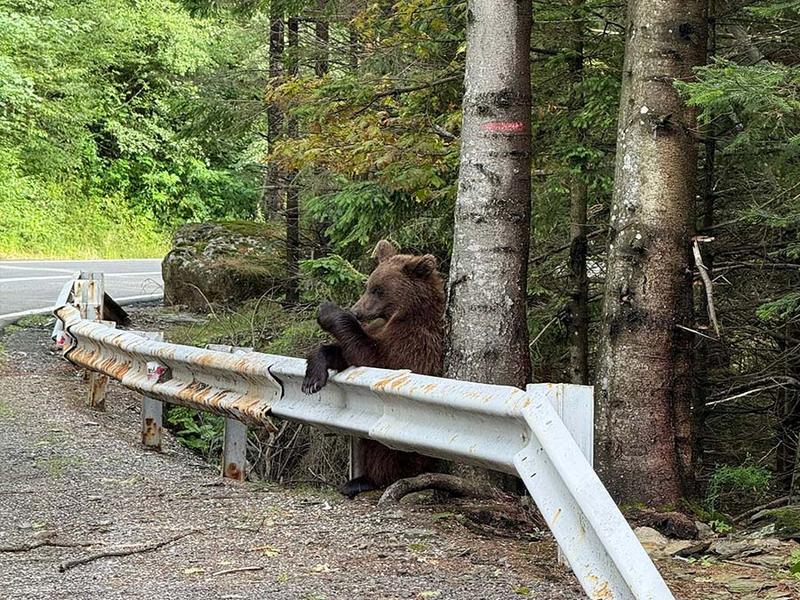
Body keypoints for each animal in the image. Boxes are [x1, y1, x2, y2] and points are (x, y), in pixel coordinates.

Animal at [302, 239, 445, 498]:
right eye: (368, 285)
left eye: (379, 290)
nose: (357, 310)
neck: (401, 316)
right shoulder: (380, 329)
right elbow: (346, 351)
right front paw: (312, 379)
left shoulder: (413, 344)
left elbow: (375, 359)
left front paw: (328, 311)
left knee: (384, 450)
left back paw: (363, 481)